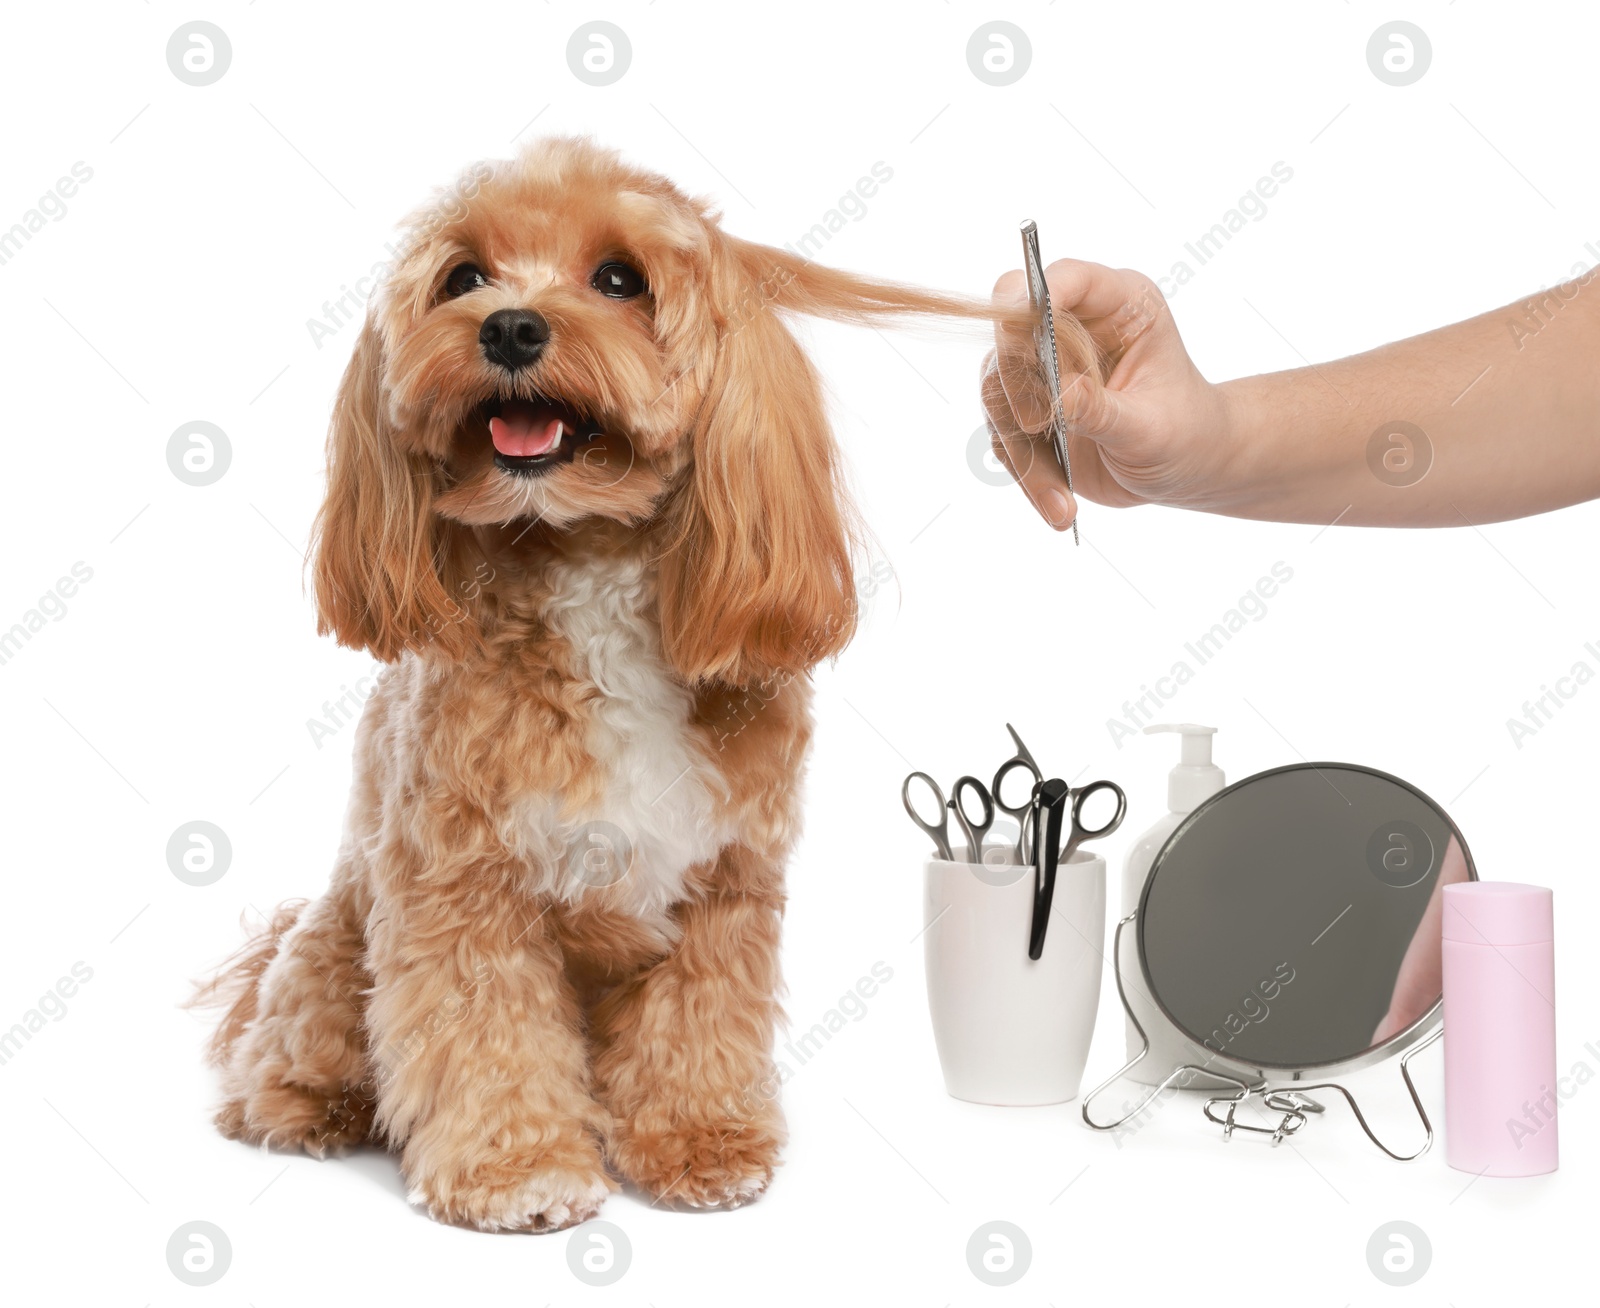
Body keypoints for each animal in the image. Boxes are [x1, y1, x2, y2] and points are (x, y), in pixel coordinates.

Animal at [200, 137, 1075, 1228]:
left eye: (620, 280)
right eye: (463, 277)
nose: (511, 325)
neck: (588, 567)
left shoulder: (723, 885)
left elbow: (697, 1028)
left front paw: (701, 1144)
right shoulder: (464, 889)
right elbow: (485, 1036)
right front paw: (519, 1171)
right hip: (333, 951)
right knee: (276, 1056)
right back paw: (308, 1109)